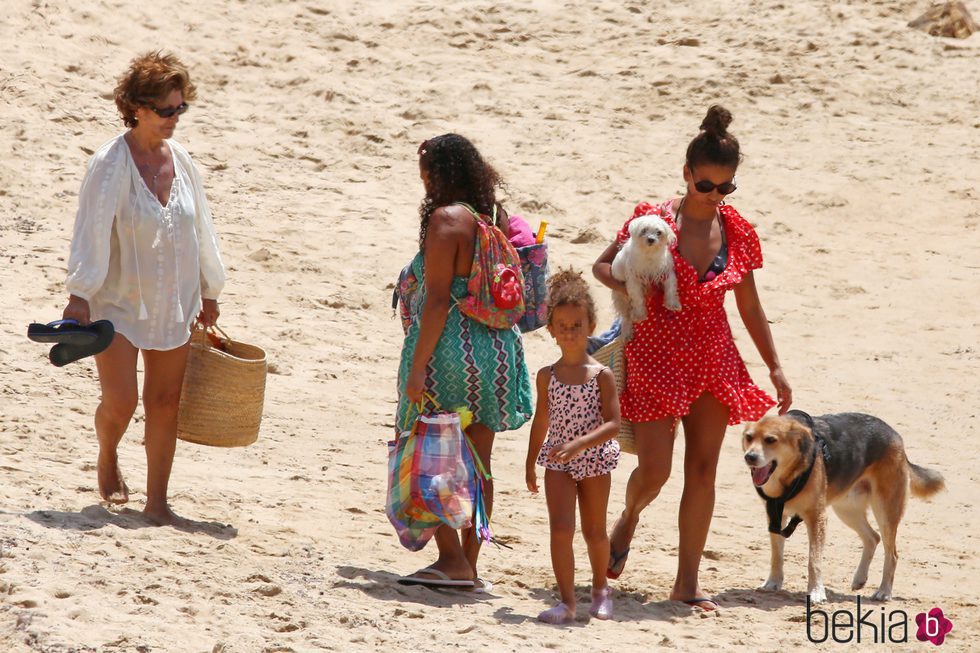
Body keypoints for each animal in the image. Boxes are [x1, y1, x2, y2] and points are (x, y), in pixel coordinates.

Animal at [744, 412, 940, 600]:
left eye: (771, 440)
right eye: (748, 437)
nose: (749, 457)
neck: (789, 476)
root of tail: (895, 435)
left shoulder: (817, 518)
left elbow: (813, 560)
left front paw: (816, 591)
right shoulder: (775, 517)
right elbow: (776, 555)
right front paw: (773, 582)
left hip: (885, 511)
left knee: (891, 554)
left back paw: (884, 591)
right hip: (847, 510)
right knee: (872, 537)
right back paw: (860, 579)